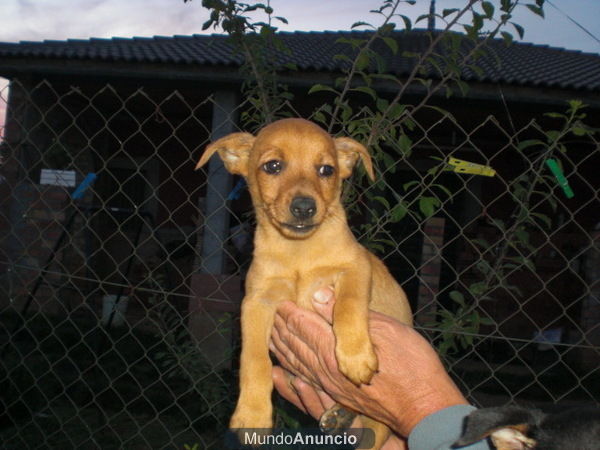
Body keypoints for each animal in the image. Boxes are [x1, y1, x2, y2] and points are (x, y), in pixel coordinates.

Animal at [197, 118, 412, 448]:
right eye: (272, 166)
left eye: (326, 170)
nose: (304, 208)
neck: (297, 252)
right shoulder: (255, 304)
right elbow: (253, 360)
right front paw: (251, 413)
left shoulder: (356, 268)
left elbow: (348, 305)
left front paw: (355, 355)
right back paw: (340, 415)